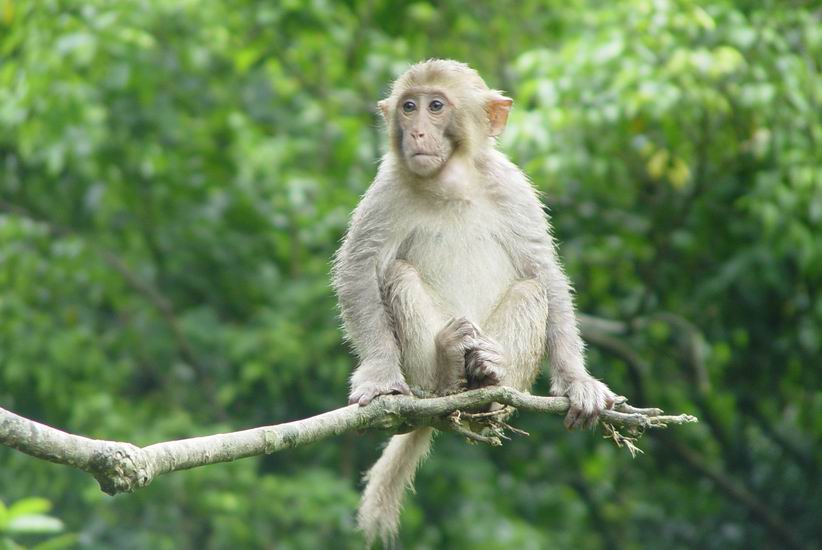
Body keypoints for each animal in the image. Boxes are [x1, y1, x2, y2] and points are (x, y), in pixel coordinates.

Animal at [332, 58, 616, 544]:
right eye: (408, 106)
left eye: (436, 106)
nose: (416, 132)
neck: (452, 180)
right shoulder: (387, 190)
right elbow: (359, 269)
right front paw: (379, 376)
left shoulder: (512, 186)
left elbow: (545, 272)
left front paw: (578, 381)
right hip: (423, 368)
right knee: (399, 274)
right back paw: (450, 373)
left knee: (531, 289)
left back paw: (489, 383)